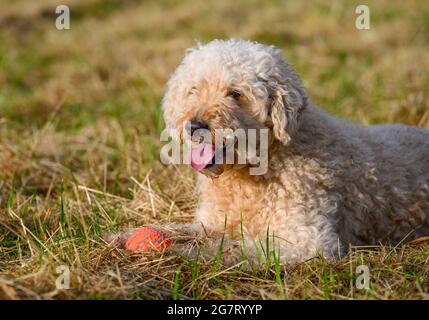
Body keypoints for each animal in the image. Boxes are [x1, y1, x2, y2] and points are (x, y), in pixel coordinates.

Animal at [119, 38, 428, 266]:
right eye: (193, 90)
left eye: (235, 93)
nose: (194, 125)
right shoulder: (211, 222)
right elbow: (177, 228)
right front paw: (123, 236)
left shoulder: (307, 240)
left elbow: (232, 250)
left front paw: (186, 253)